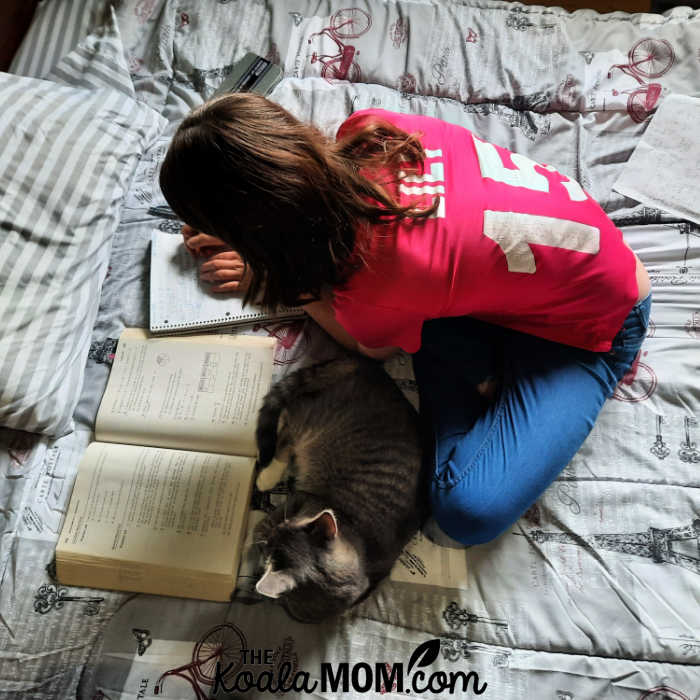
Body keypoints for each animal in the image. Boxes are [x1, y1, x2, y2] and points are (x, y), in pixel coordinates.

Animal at [253, 358, 424, 620]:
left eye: (285, 526)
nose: (274, 529)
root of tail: (366, 365)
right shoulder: (304, 499)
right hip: (314, 421)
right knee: (286, 433)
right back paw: (268, 475)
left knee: (288, 426)